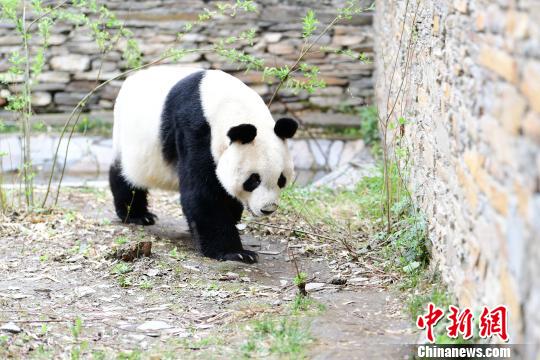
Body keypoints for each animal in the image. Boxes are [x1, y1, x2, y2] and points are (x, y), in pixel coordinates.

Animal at [108, 67, 298, 264]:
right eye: (253, 180)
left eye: (281, 180)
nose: (268, 209)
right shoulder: (194, 130)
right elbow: (202, 192)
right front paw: (235, 252)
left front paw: (232, 216)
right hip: (128, 136)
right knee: (126, 174)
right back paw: (137, 215)